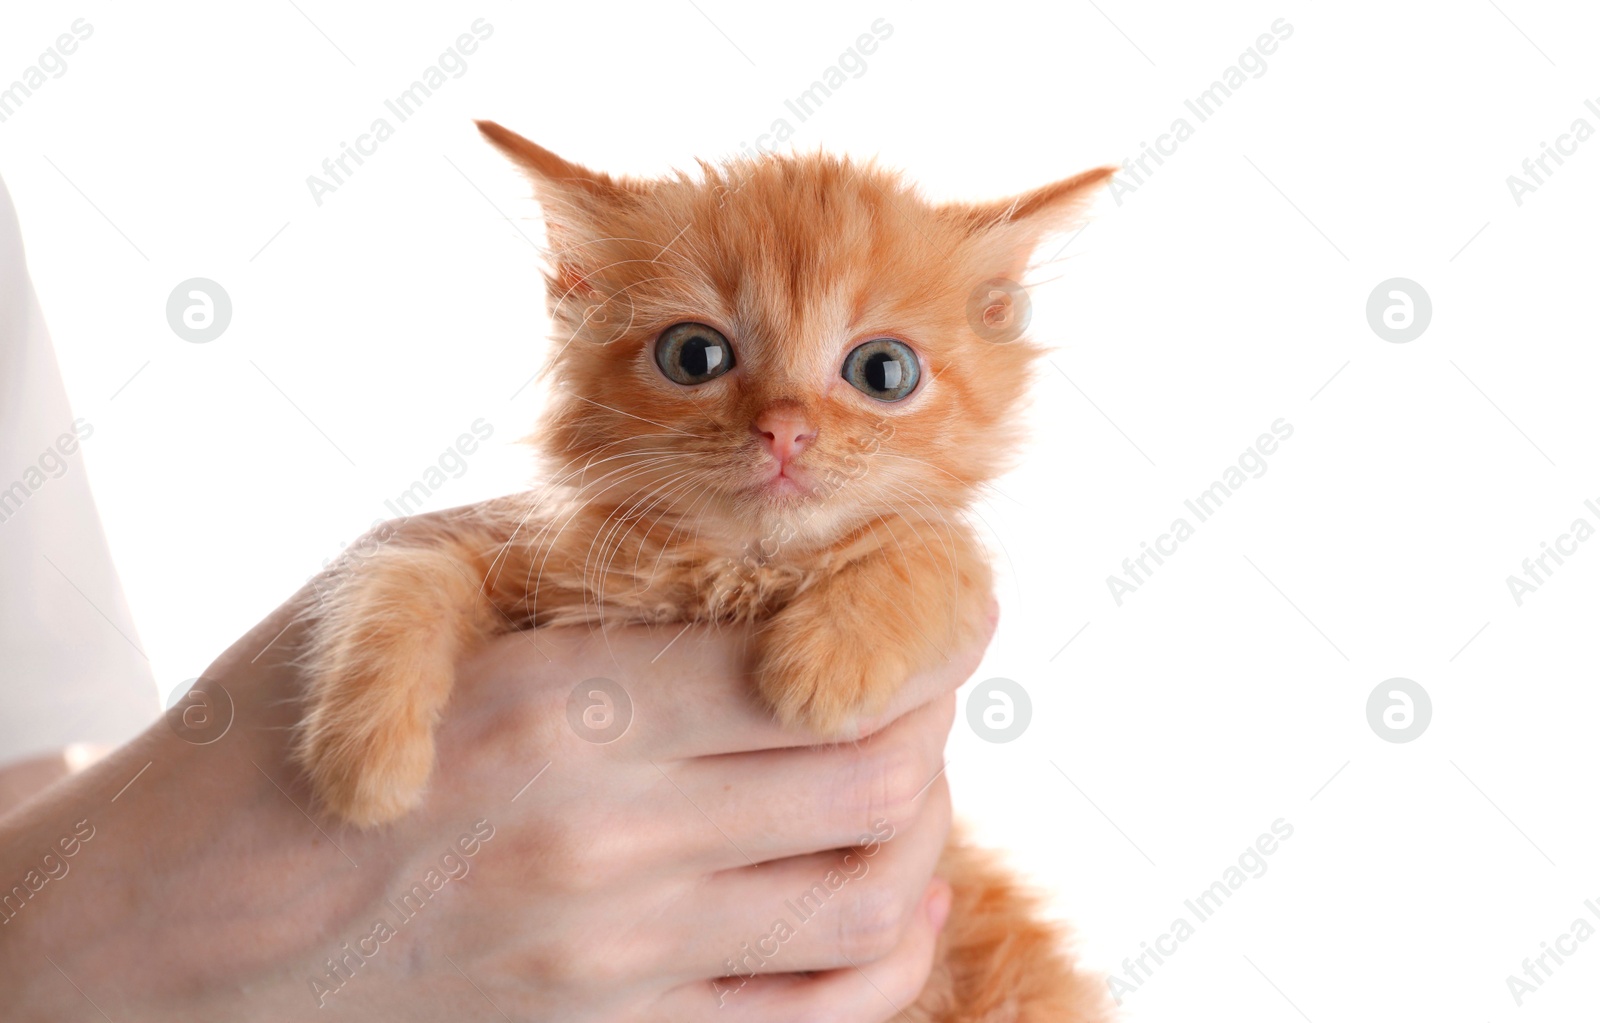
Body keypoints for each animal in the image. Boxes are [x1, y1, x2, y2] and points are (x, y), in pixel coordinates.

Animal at [297, 124, 1113, 1018]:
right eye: (695, 355)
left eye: (883, 370)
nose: (785, 429)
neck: (735, 565)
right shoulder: (529, 563)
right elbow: (404, 573)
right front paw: (366, 755)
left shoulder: (948, 561)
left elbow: (933, 551)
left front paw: (830, 661)